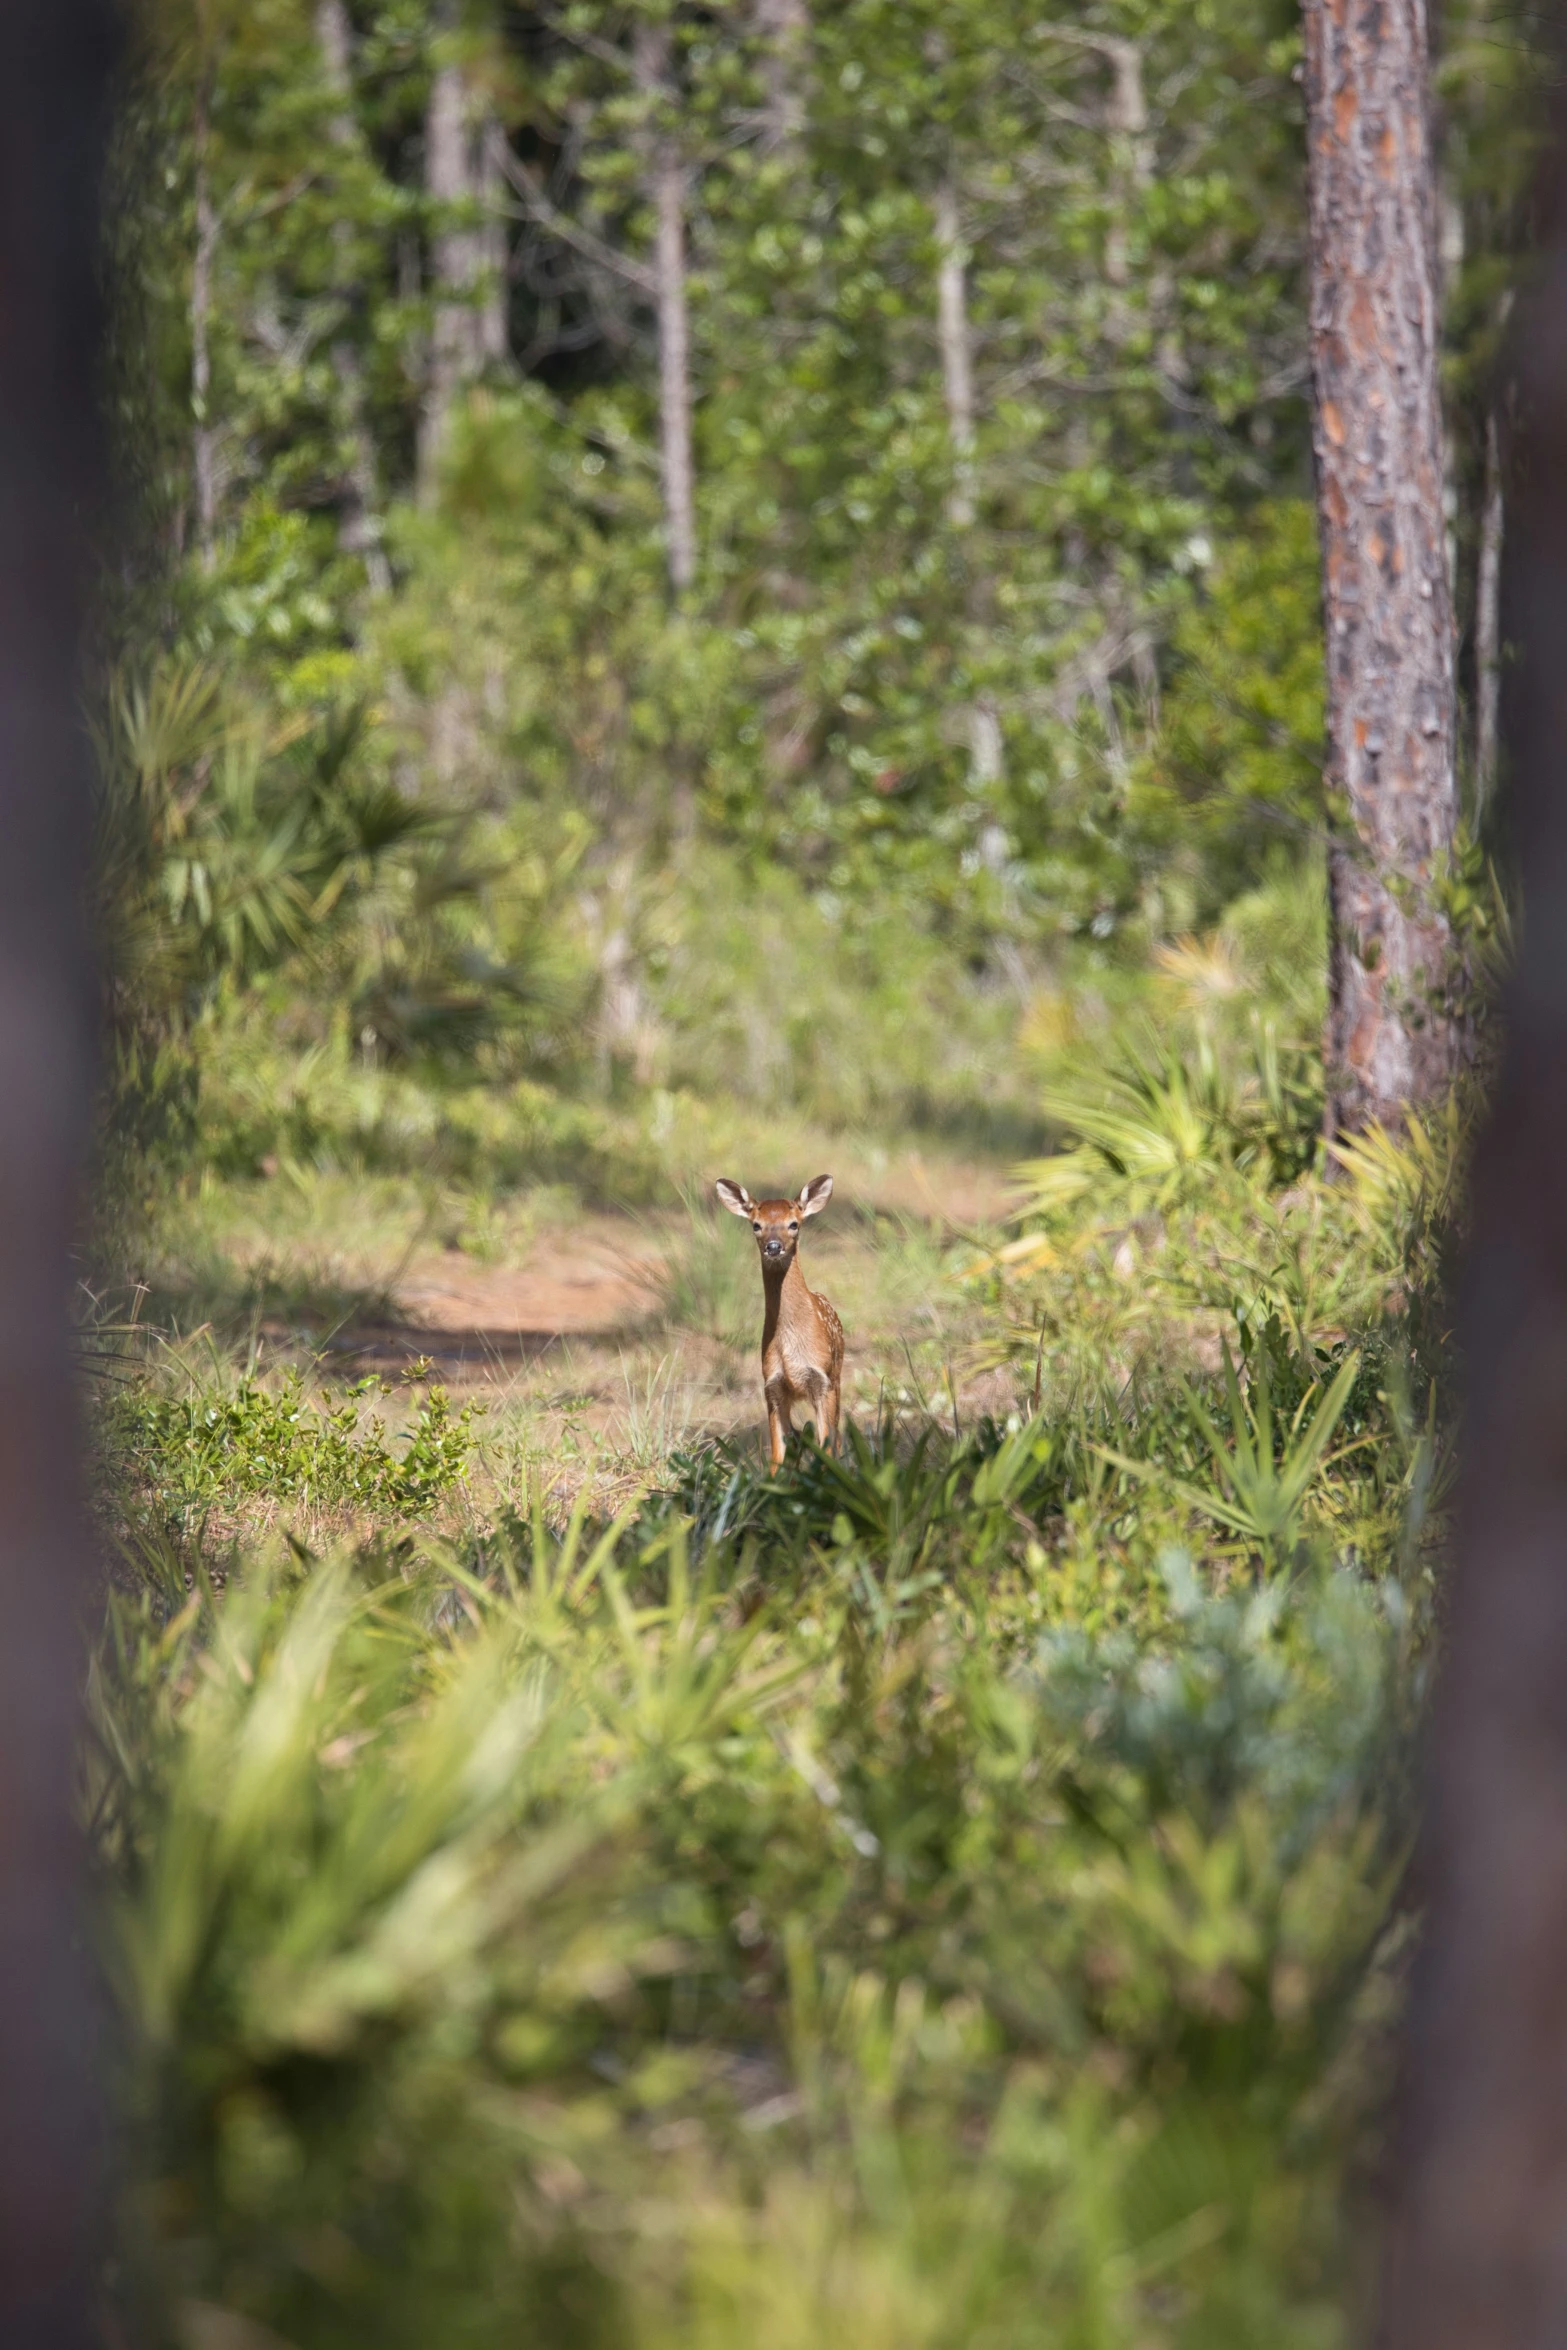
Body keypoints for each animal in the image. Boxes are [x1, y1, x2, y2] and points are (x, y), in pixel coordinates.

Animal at [718, 1175, 845, 1466]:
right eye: (756, 1225)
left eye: (794, 1224)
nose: (773, 1246)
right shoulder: (773, 1388)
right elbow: (777, 1457)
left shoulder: (822, 1381)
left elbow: (826, 1447)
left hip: (837, 1377)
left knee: (837, 1438)